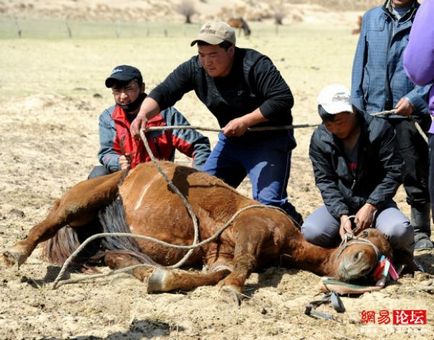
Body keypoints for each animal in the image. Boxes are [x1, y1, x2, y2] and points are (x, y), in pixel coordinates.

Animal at [0, 162, 394, 300]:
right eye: (368, 235)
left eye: (386, 253)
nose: (361, 263)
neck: (290, 242)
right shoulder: (252, 228)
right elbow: (244, 264)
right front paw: (232, 291)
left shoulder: (219, 256)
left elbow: (212, 274)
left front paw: (162, 278)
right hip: (90, 196)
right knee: (56, 215)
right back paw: (16, 251)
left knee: (114, 256)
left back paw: (138, 269)